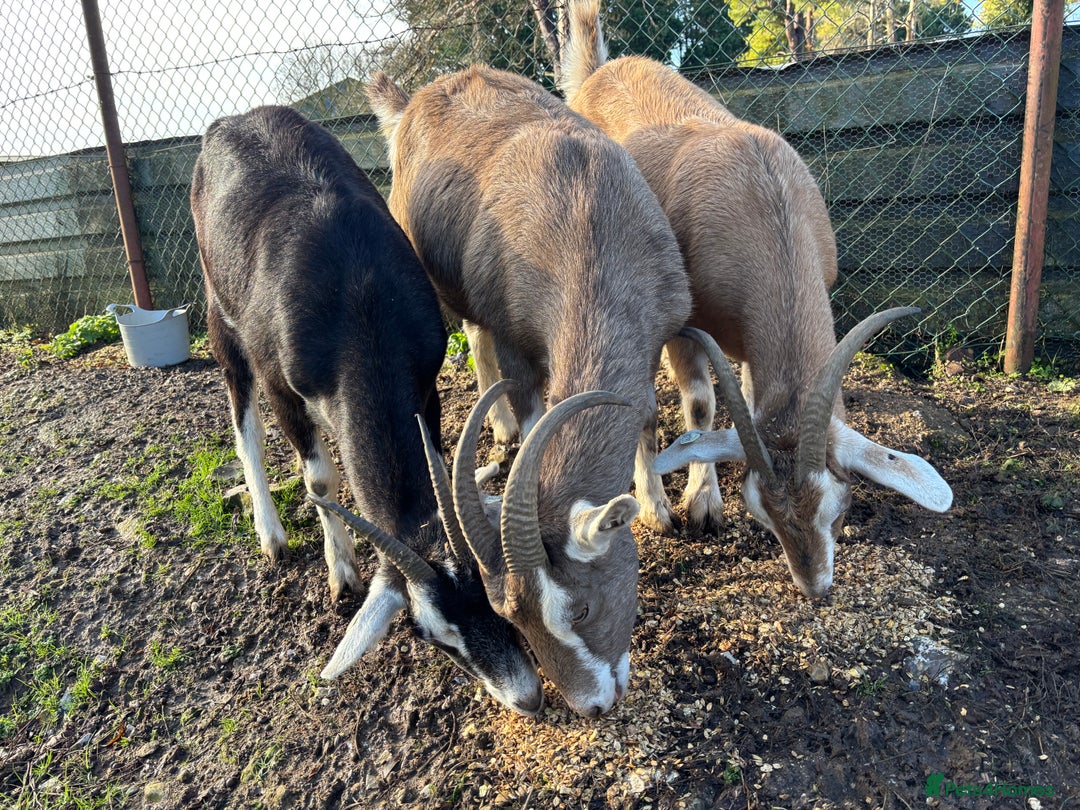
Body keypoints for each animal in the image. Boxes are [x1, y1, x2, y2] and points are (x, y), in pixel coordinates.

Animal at [190, 105, 542, 714]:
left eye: (490, 586)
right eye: (431, 636)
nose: (528, 696)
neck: (356, 302)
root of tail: (230, 120)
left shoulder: (423, 382)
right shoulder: (286, 391)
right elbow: (320, 479)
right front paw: (342, 574)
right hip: (220, 317)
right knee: (243, 421)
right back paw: (271, 534)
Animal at [366, 66, 691, 715]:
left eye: (581, 609)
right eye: (513, 620)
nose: (591, 706)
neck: (587, 218)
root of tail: (413, 100)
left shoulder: (658, 330)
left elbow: (644, 414)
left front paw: (657, 506)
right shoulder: (519, 341)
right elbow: (529, 396)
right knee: (472, 331)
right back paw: (501, 428)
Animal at [560, 0, 953, 598]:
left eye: (838, 508)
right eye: (763, 517)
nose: (815, 588)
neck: (764, 202)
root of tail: (595, 74)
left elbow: (743, 393)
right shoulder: (685, 326)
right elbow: (699, 406)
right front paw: (699, 504)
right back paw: (651, 506)